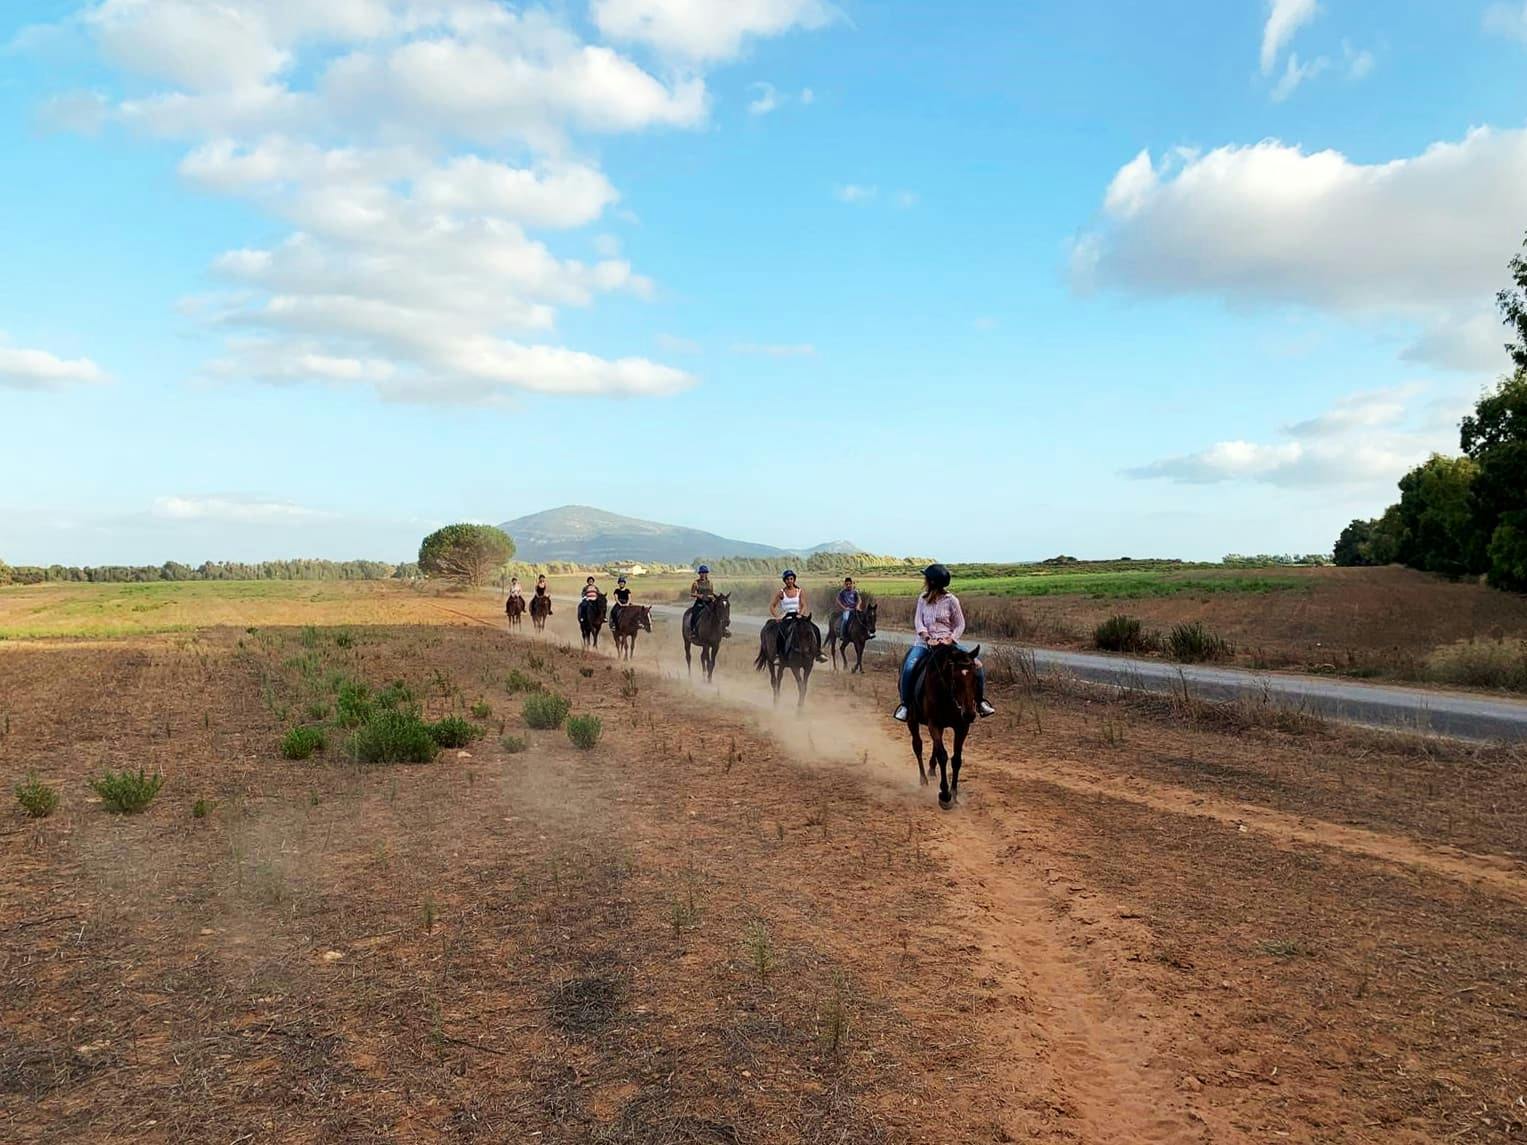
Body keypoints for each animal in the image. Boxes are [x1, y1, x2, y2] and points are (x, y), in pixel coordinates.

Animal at [897, 647, 983, 818]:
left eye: (975, 679)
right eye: (955, 680)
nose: (969, 714)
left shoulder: (962, 727)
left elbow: (956, 759)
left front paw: (954, 793)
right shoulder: (934, 724)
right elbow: (943, 756)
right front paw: (945, 795)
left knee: (934, 748)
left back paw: (931, 770)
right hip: (912, 721)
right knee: (918, 746)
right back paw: (923, 780)